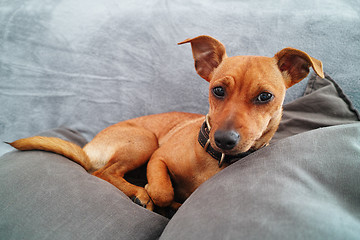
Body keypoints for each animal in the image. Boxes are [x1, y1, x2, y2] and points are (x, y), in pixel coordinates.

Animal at [8, 35, 324, 212]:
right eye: (218, 90)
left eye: (265, 96)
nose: (224, 139)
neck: (212, 159)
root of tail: (87, 149)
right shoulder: (158, 158)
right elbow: (162, 189)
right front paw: (153, 193)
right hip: (144, 141)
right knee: (104, 173)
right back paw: (139, 193)